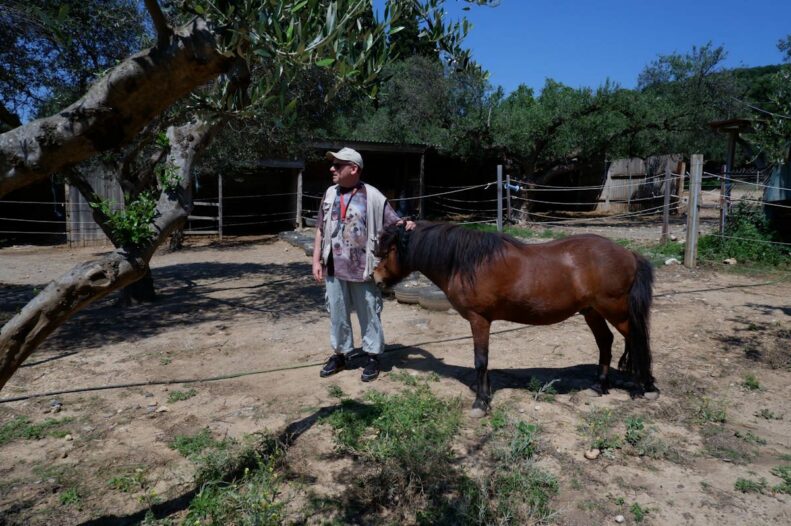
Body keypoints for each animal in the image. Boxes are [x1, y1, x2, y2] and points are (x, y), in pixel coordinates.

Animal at [374, 222, 660, 416]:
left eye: (387, 250)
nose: (374, 278)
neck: (467, 262)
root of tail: (629, 254)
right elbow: (484, 362)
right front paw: (485, 395)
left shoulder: (479, 320)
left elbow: (480, 361)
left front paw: (480, 403)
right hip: (592, 311)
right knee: (605, 341)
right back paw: (599, 386)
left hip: (616, 311)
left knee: (636, 340)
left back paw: (643, 388)